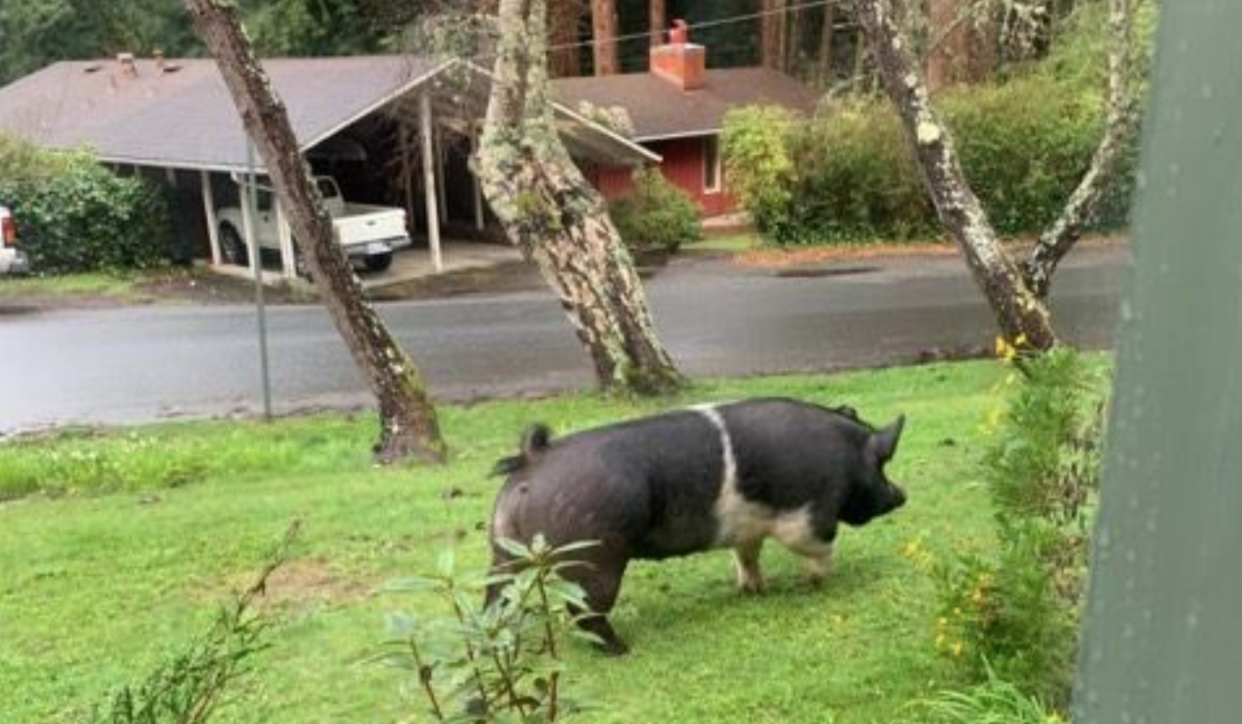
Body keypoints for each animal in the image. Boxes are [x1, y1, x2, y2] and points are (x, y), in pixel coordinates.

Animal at [489, 399, 909, 655]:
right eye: (881, 464)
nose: (902, 495)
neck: (846, 458)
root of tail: (533, 458)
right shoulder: (806, 516)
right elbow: (820, 546)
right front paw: (819, 581)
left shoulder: (747, 527)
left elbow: (747, 554)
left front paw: (754, 591)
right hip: (594, 559)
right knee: (586, 611)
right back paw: (622, 650)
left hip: (501, 554)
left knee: (498, 597)